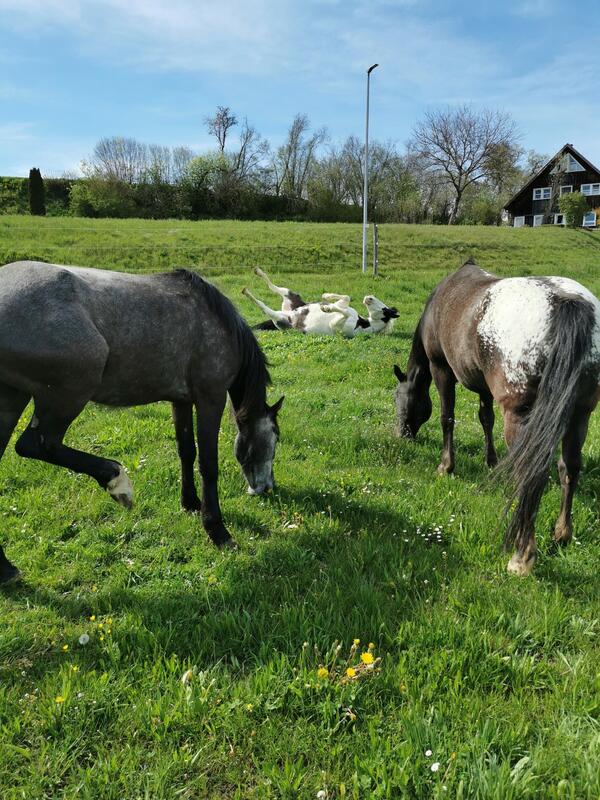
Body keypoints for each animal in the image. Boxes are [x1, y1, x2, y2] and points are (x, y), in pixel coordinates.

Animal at [0, 261, 284, 585]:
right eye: (274, 438)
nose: (267, 487)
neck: (214, 319)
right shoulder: (210, 398)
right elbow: (208, 465)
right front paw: (217, 530)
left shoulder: (181, 400)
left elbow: (186, 452)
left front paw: (190, 503)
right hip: (67, 395)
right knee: (37, 444)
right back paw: (116, 480)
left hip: (13, 398)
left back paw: (5, 568)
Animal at [242, 267, 399, 337]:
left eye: (385, 309)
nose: (369, 297)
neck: (363, 323)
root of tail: (289, 314)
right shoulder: (344, 305)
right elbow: (346, 298)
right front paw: (326, 298)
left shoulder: (337, 327)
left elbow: (343, 313)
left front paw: (327, 308)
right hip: (289, 294)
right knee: (272, 286)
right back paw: (258, 272)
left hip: (278, 318)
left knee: (262, 306)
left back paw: (246, 291)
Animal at [393, 259, 600, 576]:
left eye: (398, 398)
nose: (401, 434)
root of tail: (566, 301)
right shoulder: (483, 386)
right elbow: (485, 419)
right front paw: (491, 461)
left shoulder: (442, 370)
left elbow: (447, 418)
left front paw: (446, 466)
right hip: (580, 414)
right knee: (570, 467)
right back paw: (562, 534)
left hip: (520, 417)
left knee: (531, 474)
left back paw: (522, 556)